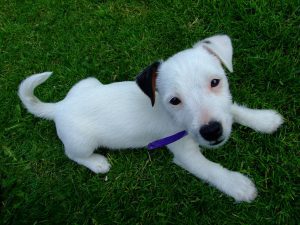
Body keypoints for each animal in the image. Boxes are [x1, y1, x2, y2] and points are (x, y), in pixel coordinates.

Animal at [19, 35, 284, 202]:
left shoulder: (224, 110)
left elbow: (234, 110)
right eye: (175, 100)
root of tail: (60, 107)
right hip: (81, 141)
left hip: (88, 83)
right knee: (73, 155)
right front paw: (239, 186)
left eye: (215, 82)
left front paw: (264, 120)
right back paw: (97, 163)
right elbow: (212, 170)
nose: (212, 131)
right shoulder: (185, 154)